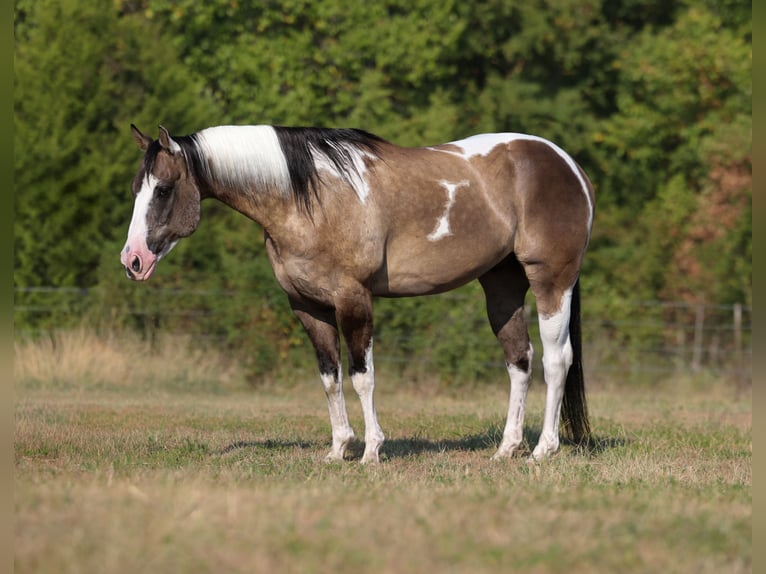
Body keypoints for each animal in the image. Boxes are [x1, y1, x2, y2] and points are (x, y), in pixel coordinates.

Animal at [121, 124, 595, 464]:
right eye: (136, 189)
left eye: (163, 189)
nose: (133, 261)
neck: (308, 198)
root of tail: (568, 164)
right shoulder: (308, 307)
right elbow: (330, 378)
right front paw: (338, 449)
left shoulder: (353, 299)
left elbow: (361, 376)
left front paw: (371, 451)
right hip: (502, 284)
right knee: (520, 360)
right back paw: (506, 449)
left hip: (552, 281)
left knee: (557, 360)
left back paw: (543, 450)